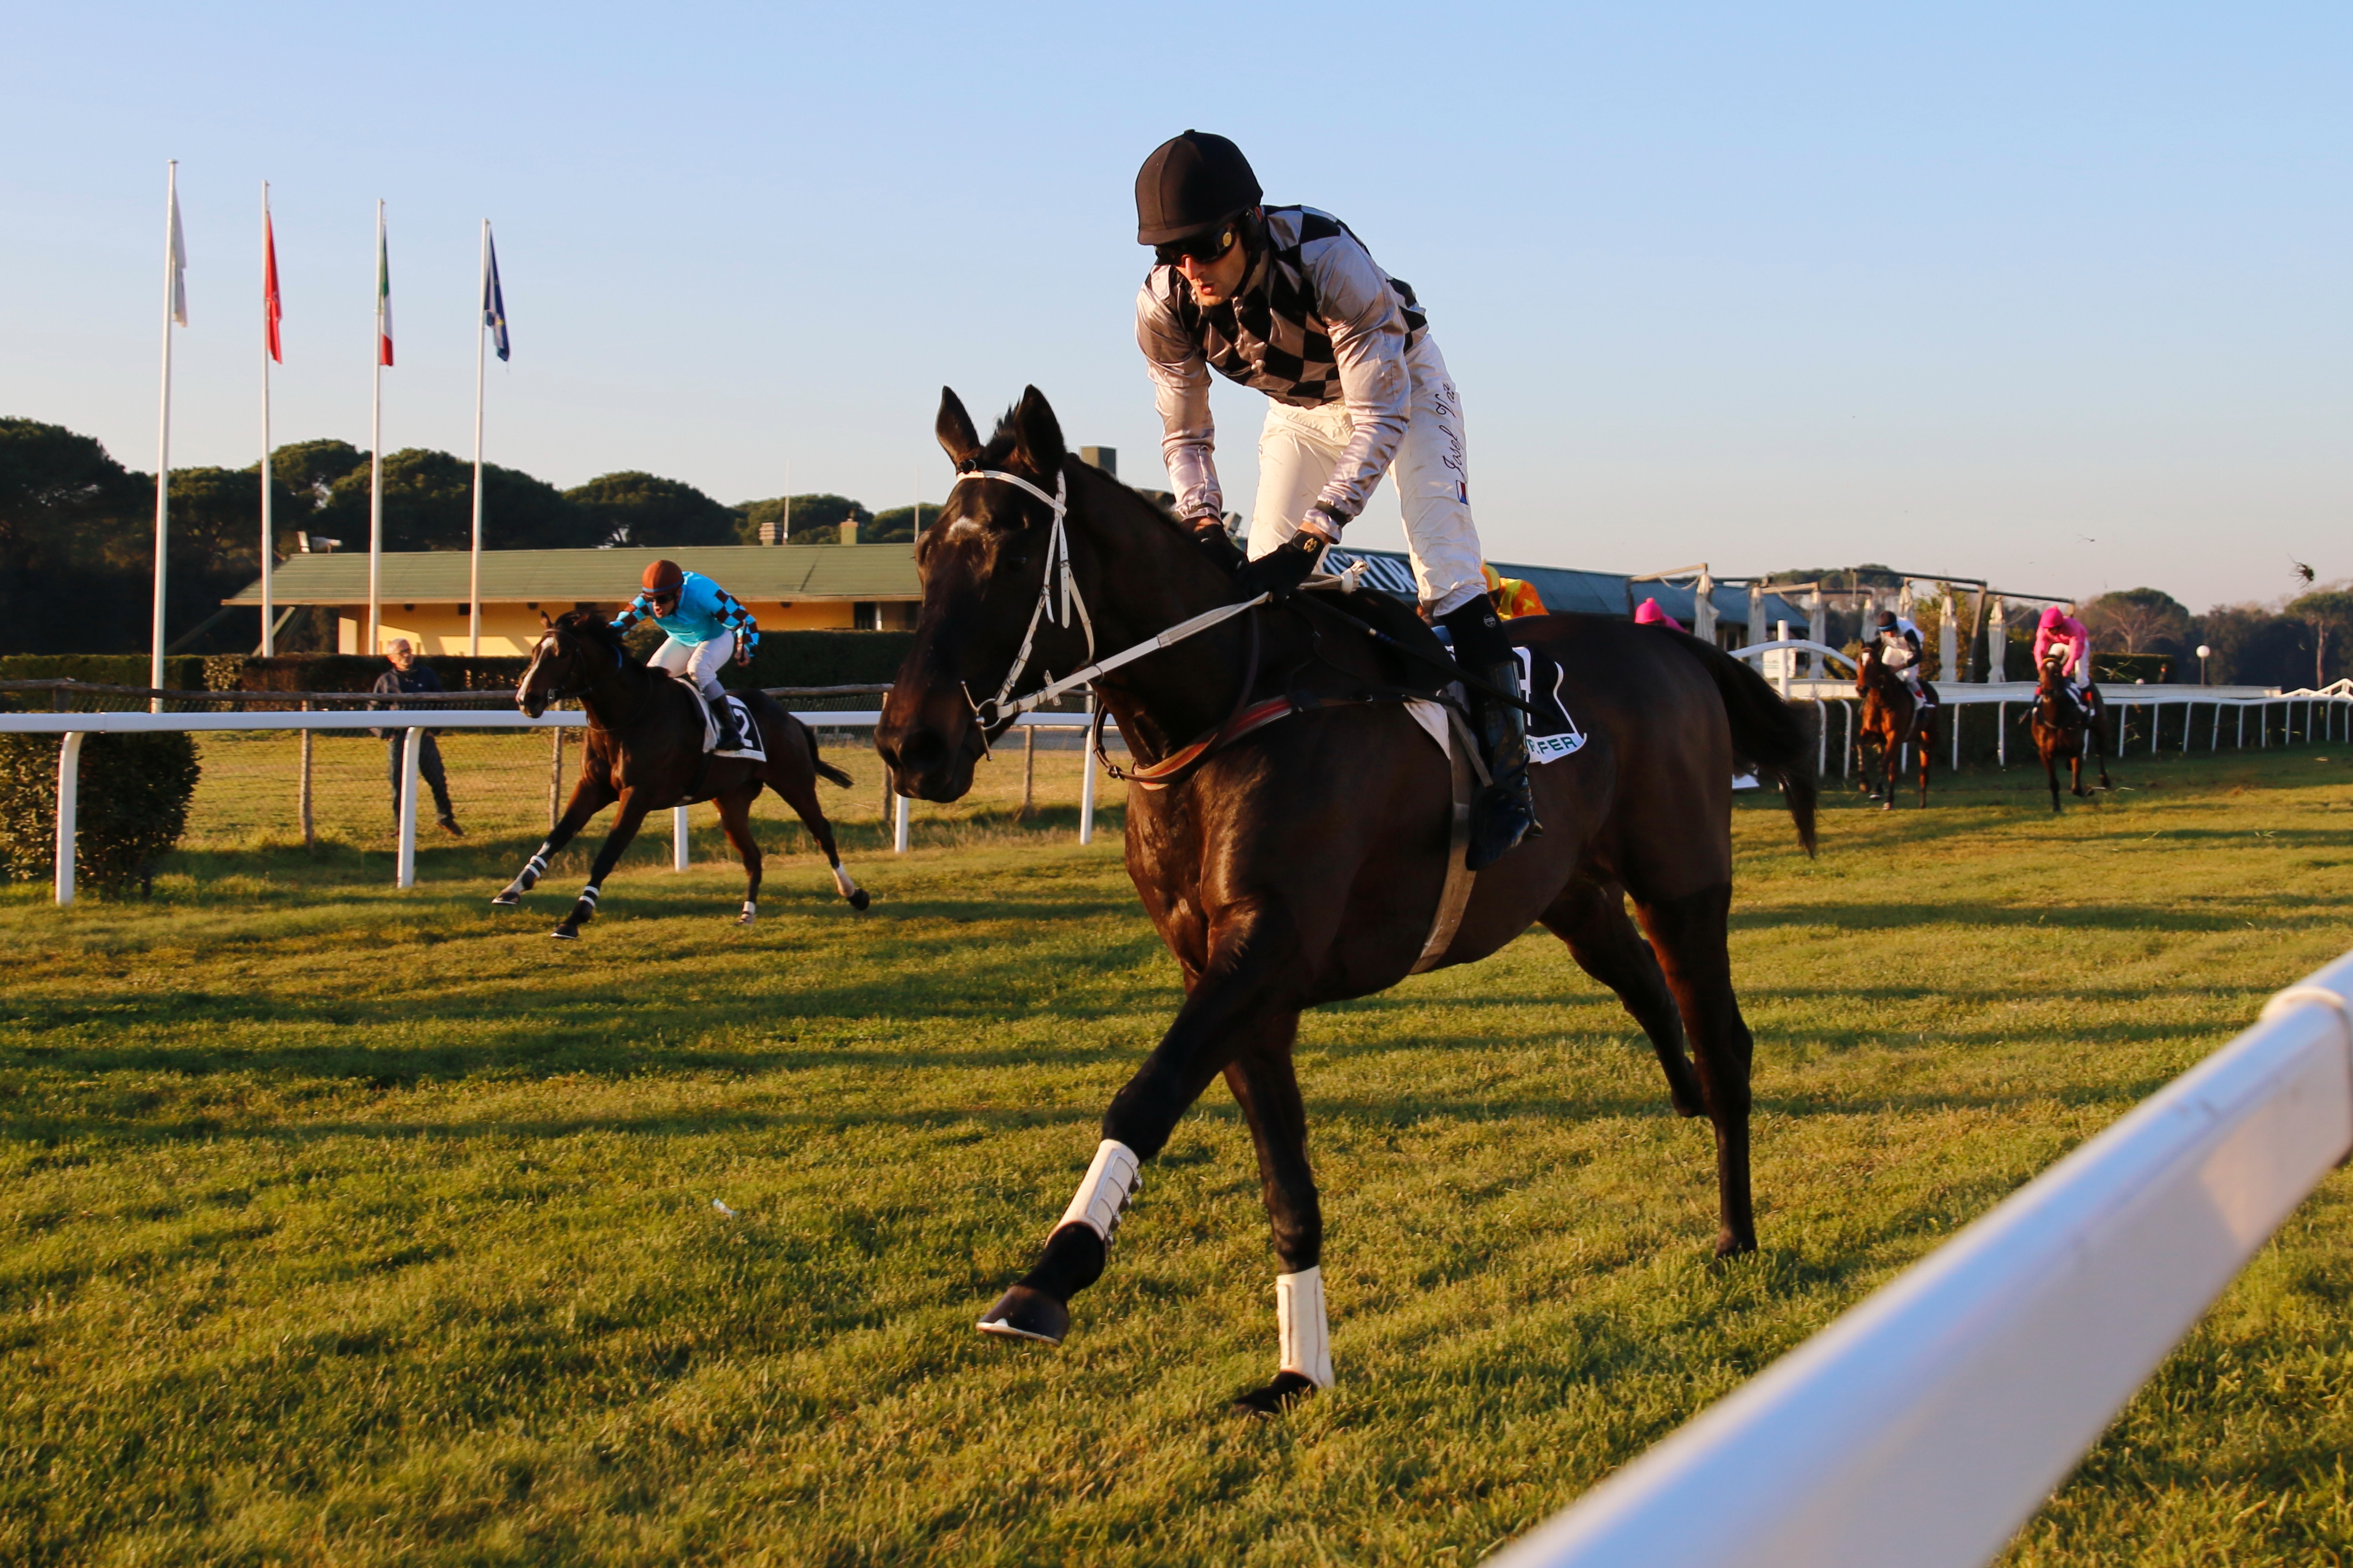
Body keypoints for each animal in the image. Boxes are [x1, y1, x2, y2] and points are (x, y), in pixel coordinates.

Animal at [491, 611, 871, 931]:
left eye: (561, 654)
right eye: (535, 651)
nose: (526, 699)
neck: (626, 715)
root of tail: (791, 719)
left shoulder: (638, 795)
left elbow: (608, 853)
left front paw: (576, 918)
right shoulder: (592, 786)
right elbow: (556, 837)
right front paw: (514, 888)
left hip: (795, 783)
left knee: (823, 834)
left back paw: (854, 894)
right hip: (731, 803)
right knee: (753, 856)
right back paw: (747, 913)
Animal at [880, 386, 1816, 1420]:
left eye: (1008, 555)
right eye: (924, 558)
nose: (909, 744)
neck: (1224, 708)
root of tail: (1673, 645)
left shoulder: (1267, 947)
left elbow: (1147, 1093)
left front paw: (1048, 1277)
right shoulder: (1231, 978)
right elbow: (1285, 1181)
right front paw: (1298, 1372)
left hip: (1682, 885)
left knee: (1724, 1040)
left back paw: (1735, 1230)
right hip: (1575, 896)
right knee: (1647, 989)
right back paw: (1683, 1097)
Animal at [1854, 639, 1929, 809]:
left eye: (1874, 663)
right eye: (1858, 661)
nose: (1862, 689)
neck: (1881, 701)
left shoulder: (1894, 735)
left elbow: (1884, 763)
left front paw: (1876, 791)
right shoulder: (1872, 733)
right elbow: (1860, 746)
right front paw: (1864, 784)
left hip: (1926, 737)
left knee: (1923, 768)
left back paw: (1922, 802)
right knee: (1893, 769)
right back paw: (1890, 800)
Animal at [2023, 644, 2117, 809]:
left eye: (2057, 672)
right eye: (2041, 672)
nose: (2048, 692)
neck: (2055, 720)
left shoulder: (2076, 750)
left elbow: (2076, 788)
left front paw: (2089, 791)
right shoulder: (2045, 754)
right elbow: (2054, 783)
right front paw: (2056, 807)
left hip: (2101, 726)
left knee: (2100, 750)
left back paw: (2104, 780)